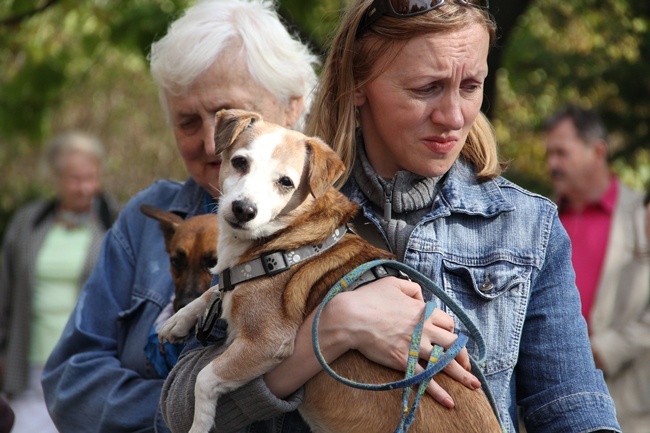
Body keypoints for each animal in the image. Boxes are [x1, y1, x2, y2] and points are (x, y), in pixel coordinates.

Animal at [158, 109, 502, 432]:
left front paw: (199, 425)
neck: (283, 241)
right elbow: (213, 291)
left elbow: (204, 378)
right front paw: (178, 320)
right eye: (240, 162)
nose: (243, 209)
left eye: (286, 182)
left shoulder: (266, 343)